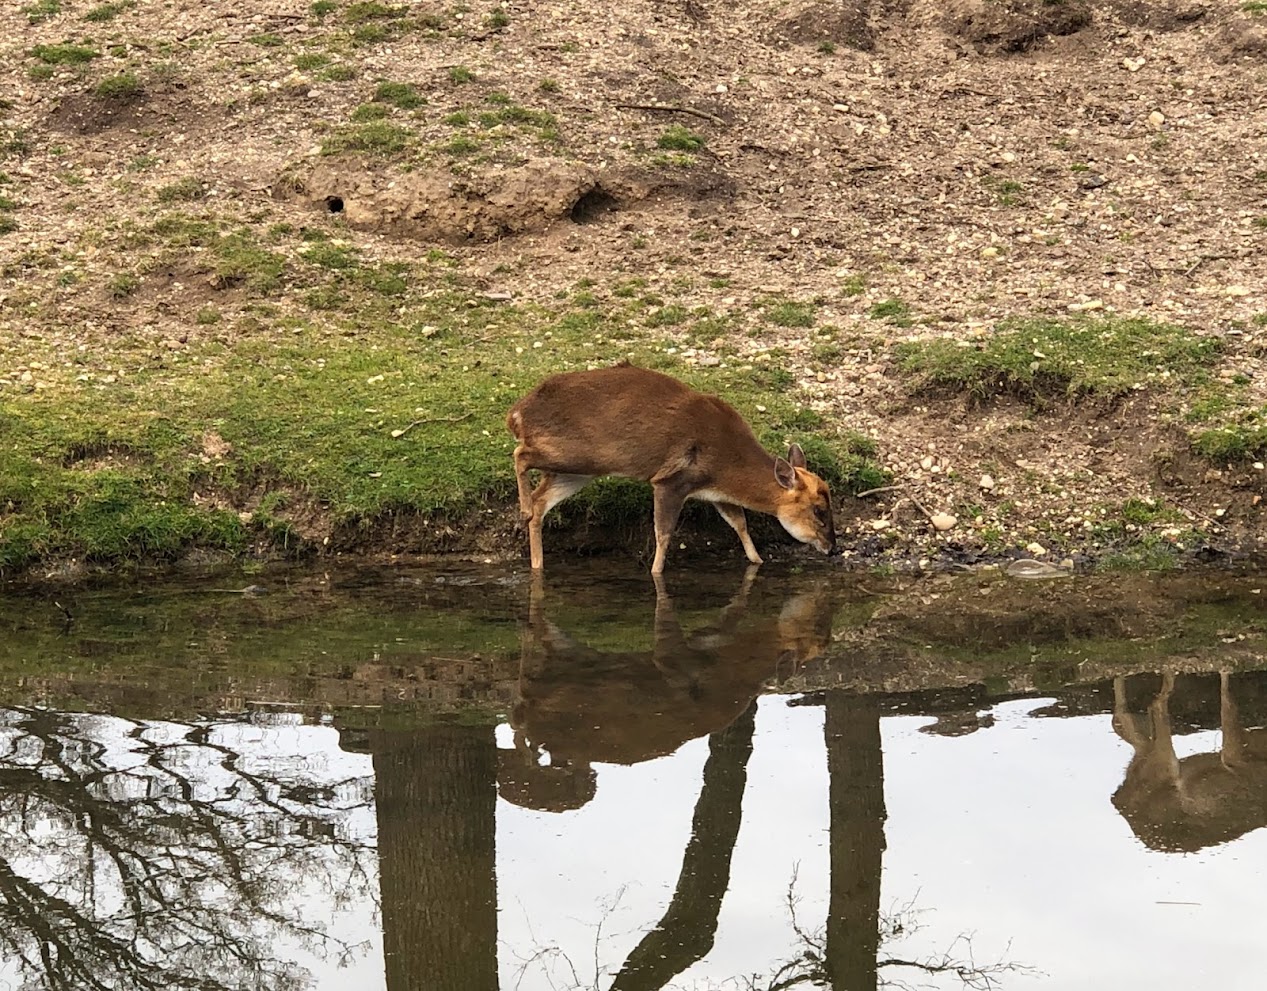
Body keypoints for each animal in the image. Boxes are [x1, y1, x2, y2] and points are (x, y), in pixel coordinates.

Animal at [506, 362, 837, 575]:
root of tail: (517, 414)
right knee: (521, 454)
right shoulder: (672, 480)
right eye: (819, 510)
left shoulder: (716, 492)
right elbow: (663, 533)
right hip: (576, 454)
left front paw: (758, 561)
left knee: (541, 500)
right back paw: (523, 511)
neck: (728, 460)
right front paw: (655, 574)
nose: (832, 547)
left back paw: (536, 562)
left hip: (577, 471)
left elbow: (739, 522)